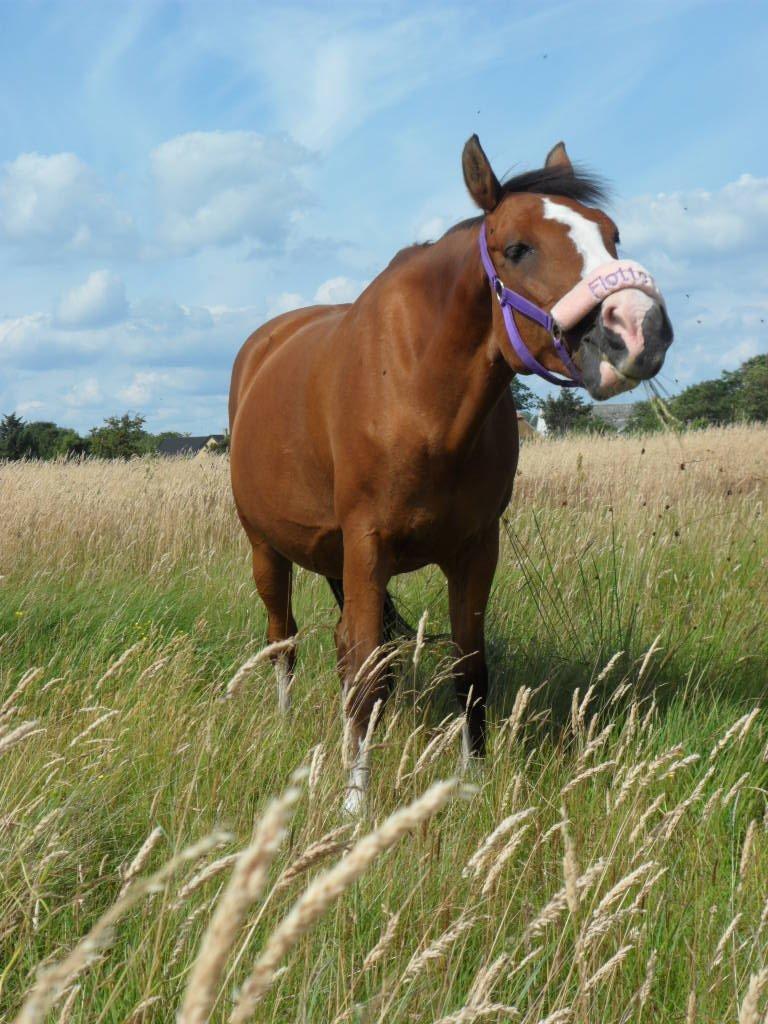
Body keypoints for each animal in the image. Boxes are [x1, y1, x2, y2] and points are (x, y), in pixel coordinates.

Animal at [230, 134, 671, 806]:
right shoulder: (367, 544)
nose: (641, 329)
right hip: (267, 549)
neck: (418, 391)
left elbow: (468, 664)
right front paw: (356, 802)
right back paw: (284, 722)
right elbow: (365, 667)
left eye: (612, 236)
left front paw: (472, 780)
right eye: (517, 249)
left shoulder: (475, 548)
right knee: (285, 638)